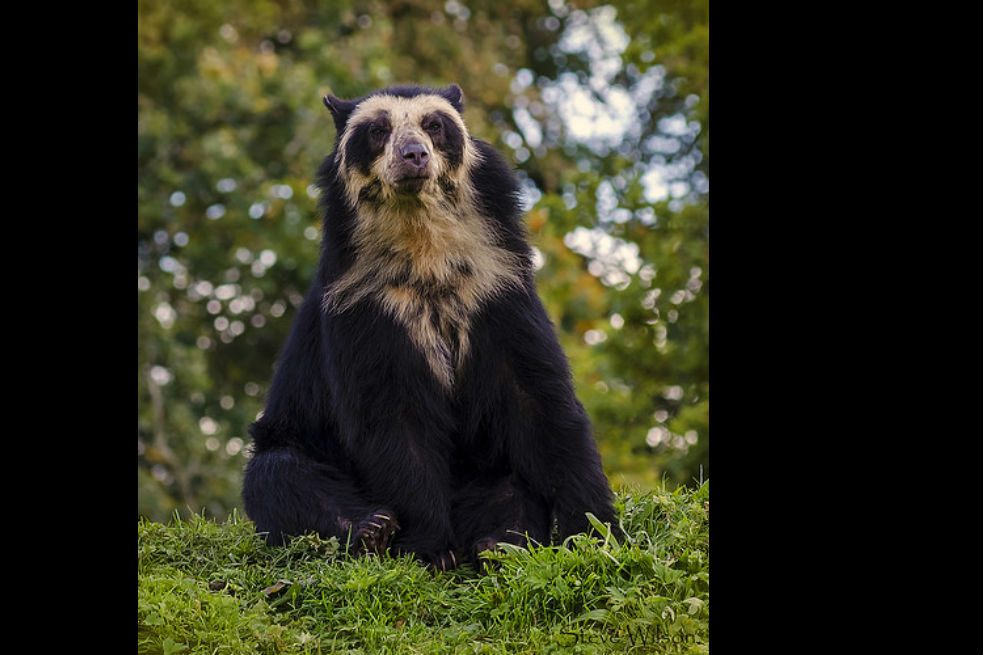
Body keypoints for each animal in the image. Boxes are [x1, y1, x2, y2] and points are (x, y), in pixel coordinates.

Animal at [242, 83, 617, 570]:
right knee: (278, 475)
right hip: (292, 440)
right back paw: (372, 528)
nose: (414, 156)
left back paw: (499, 544)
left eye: (434, 125)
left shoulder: (499, 290)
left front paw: (595, 532)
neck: (423, 243)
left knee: (512, 489)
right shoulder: (365, 306)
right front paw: (431, 551)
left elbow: (539, 399)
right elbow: (391, 419)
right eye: (378, 131)